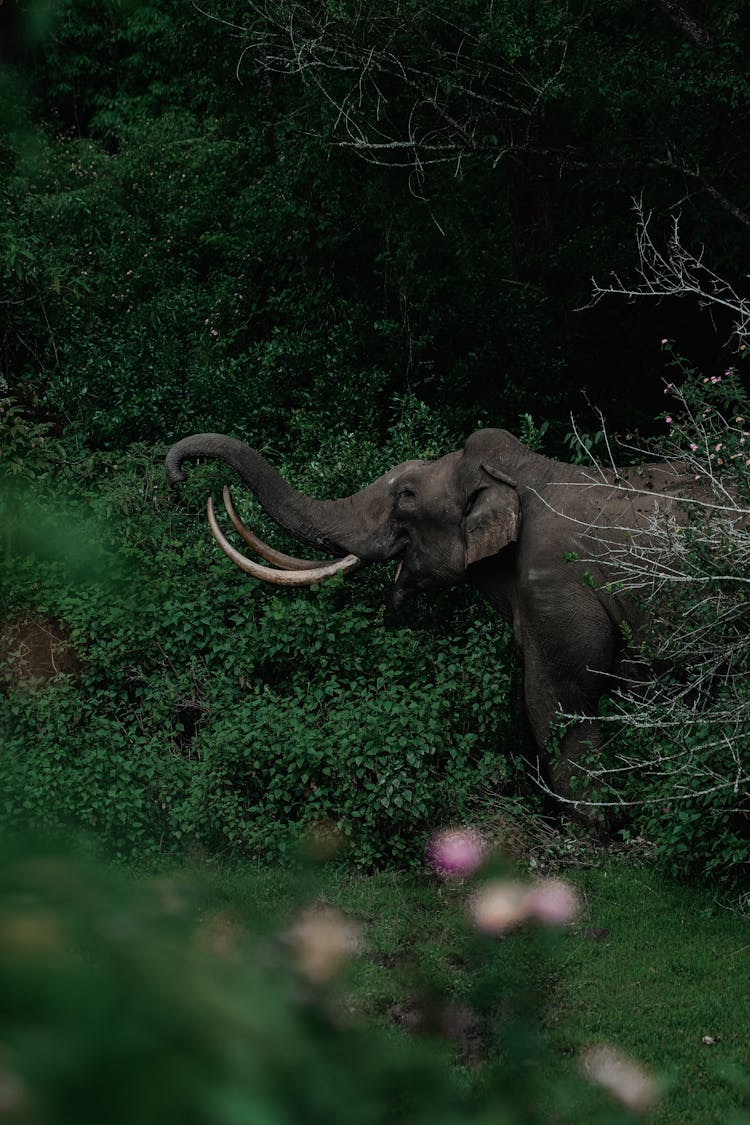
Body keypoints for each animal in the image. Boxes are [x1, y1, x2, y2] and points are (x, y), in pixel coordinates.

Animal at [163, 425, 706, 805]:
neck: (522, 473)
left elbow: (561, 701)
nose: (179, 476)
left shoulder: (557, 584)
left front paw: (594, 834)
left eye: (405, 497)